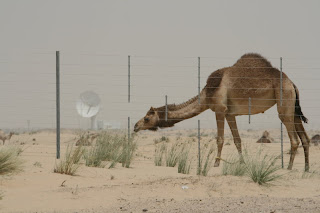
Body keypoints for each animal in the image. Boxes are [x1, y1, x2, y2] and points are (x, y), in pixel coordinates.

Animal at [134, 53, 310, 171]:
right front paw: (242, 163)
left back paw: (288, 168)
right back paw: (306, 169)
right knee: (305, 138)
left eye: (147, 118)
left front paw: (216, 163)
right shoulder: (230, 114)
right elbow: (237, 139)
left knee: (294, 139)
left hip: (284, 101)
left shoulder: (219, 109)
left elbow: (219, 138)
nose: (135, 126)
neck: (207, 93)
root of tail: (291, 83)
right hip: (293, 107)